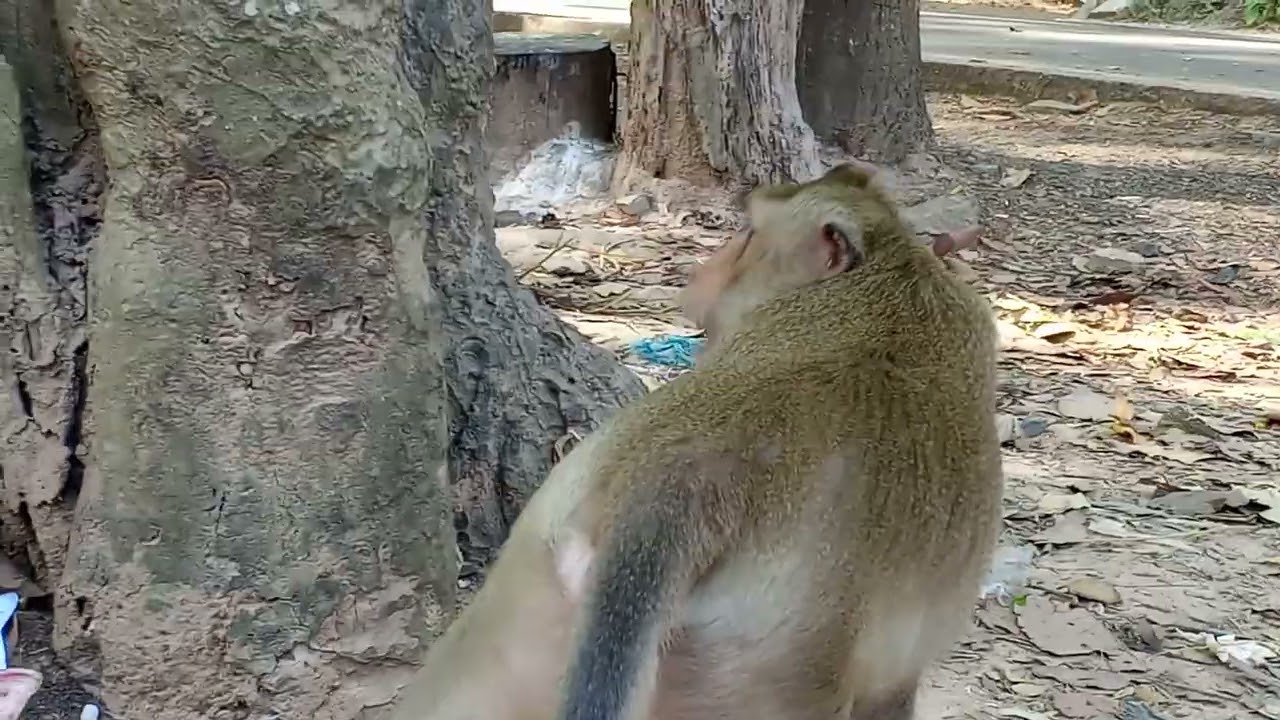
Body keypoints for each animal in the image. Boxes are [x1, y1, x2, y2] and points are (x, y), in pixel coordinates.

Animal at [389, 163, 1003, 720]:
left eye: (749, 236)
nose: (706, 270)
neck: (890, 263)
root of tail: (673, 486)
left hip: (536, 580)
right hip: (767, 667)